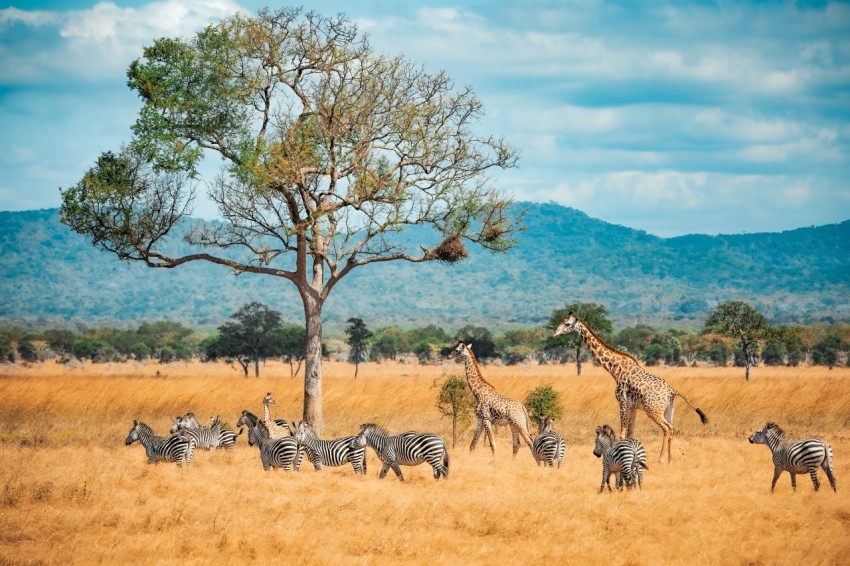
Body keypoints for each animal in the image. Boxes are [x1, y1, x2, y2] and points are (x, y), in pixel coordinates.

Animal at [552, 312, 704, 464]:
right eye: (560, 321)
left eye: (567, 324)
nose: (555, 333)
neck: (615, 370)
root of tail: (672, 392)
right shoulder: (633, 407)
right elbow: (631, 433)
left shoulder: (623, 403)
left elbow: (622, 434)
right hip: (668, 411)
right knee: (671, 428)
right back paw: (669, 460)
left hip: (653, 411)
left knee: (666, 429)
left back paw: (661, 459)